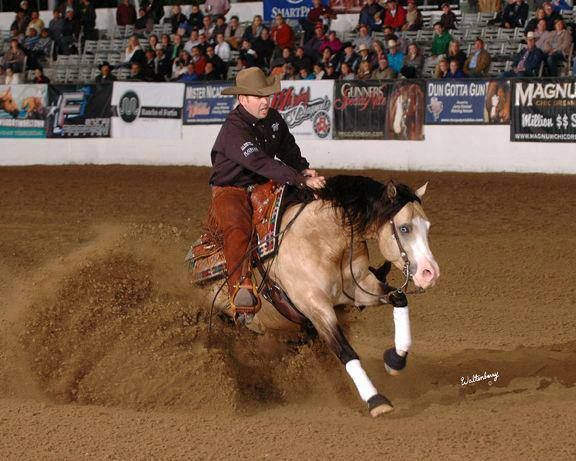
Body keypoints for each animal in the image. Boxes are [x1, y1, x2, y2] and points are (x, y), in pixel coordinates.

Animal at [204, 175, 440, 417]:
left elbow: (399, 298)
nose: (430, 273)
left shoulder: (360, 287)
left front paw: (395, 360)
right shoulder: (316, 307)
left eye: (428, 226)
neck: (324, 242)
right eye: (404, 228)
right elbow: (346, 351)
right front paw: (376, 400)